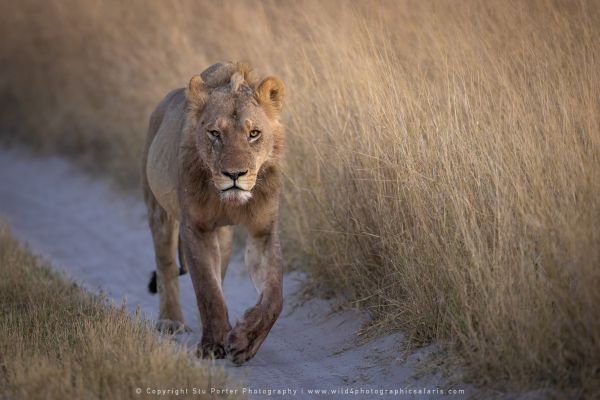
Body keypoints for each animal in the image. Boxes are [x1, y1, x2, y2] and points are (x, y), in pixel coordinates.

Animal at [144, 61, 288, 364]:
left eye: (254, 134)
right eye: (215, 133)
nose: (234, 174)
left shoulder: (263, 232)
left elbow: (274, 297)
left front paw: (245, 341)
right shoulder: (196, 228)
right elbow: (207, 290)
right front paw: (212, 345)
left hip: (223, 235)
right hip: (158, 210)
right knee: (166, 265)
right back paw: (171, 321)